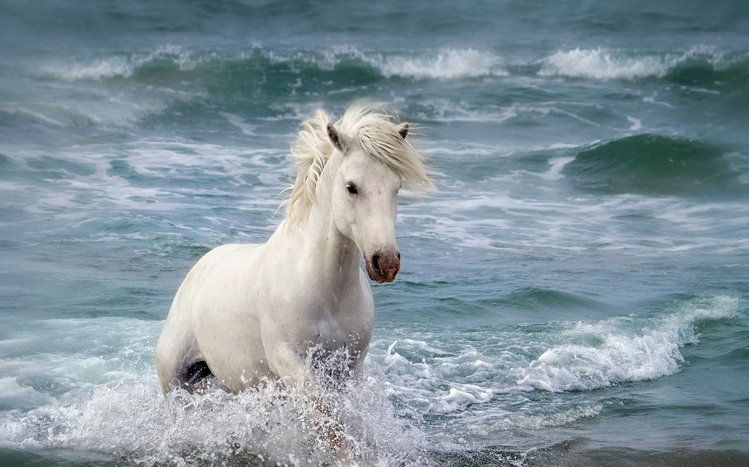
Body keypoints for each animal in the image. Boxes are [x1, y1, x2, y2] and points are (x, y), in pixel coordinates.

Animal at [155, 102, 432, 454]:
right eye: (351, 187)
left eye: (397, 188)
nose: (385, 262)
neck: (324, 289)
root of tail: (199, 268)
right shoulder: (288, 359)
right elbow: (326, 416)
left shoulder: (349, 366)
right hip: (173, 376)